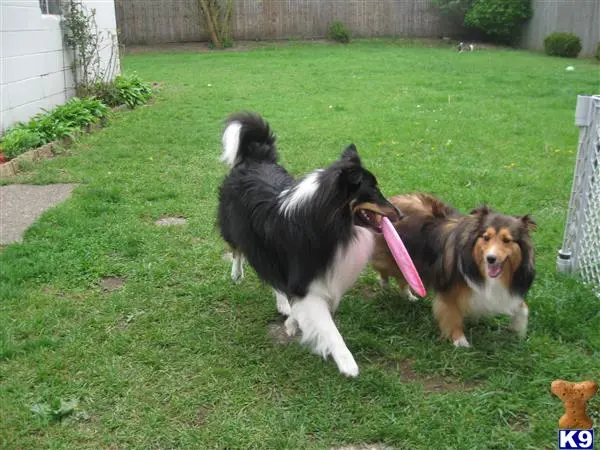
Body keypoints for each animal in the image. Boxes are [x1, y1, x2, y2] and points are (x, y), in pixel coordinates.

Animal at [218, 111, 400, 376]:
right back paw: (237, 273)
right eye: (373, 191)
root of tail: (256, 158)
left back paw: (282, 303)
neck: (328, 222)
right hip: (238, 229)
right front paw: (347, 363)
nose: (400, 213)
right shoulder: (307, 280)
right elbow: (329, 328)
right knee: (237, 249)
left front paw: (291, 321)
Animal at [370, 193, 536, 348]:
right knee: (385, 270)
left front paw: (519, 331)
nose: (491, 258)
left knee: (403, 277)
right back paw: (386, 285)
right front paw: (460, 342)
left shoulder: (507, 291)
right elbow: (452, 316)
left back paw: (409, 296)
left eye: (507, 240)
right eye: (486, 237)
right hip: (392, 256)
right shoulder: (449, 290)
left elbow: (523, 308)